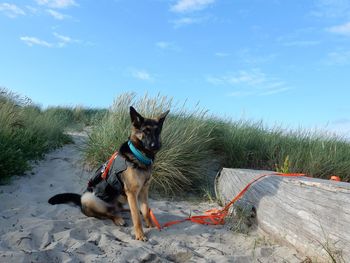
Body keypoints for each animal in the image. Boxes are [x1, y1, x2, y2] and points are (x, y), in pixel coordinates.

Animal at [48, 106, 169, 241]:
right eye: (145, 131)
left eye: (157, 131)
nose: (155, 146)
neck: (139, 155)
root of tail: (80, 200)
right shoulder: (132, 192)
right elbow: (136, 218)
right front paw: (140, 234)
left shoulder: (143, 190)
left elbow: (146, 210)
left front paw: (151, 225)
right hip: (89, 199)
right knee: (109, 214)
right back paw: (118, 219)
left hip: (121, 199)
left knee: (122, 209)